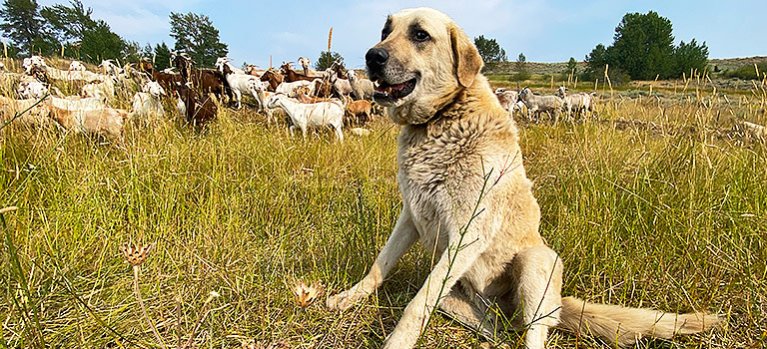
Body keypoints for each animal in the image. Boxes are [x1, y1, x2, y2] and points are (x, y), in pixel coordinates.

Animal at [328, 6, 724, 348]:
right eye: (386, 31)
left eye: (420, 34)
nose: (372, 56)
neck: (442, 118)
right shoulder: (411, 216)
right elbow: (380, 265)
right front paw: (346, 298)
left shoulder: (468, 234)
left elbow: (417, 302)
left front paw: (396, 341)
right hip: (462, 301)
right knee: (496, 330)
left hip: (534, 262)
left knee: (533, 332)